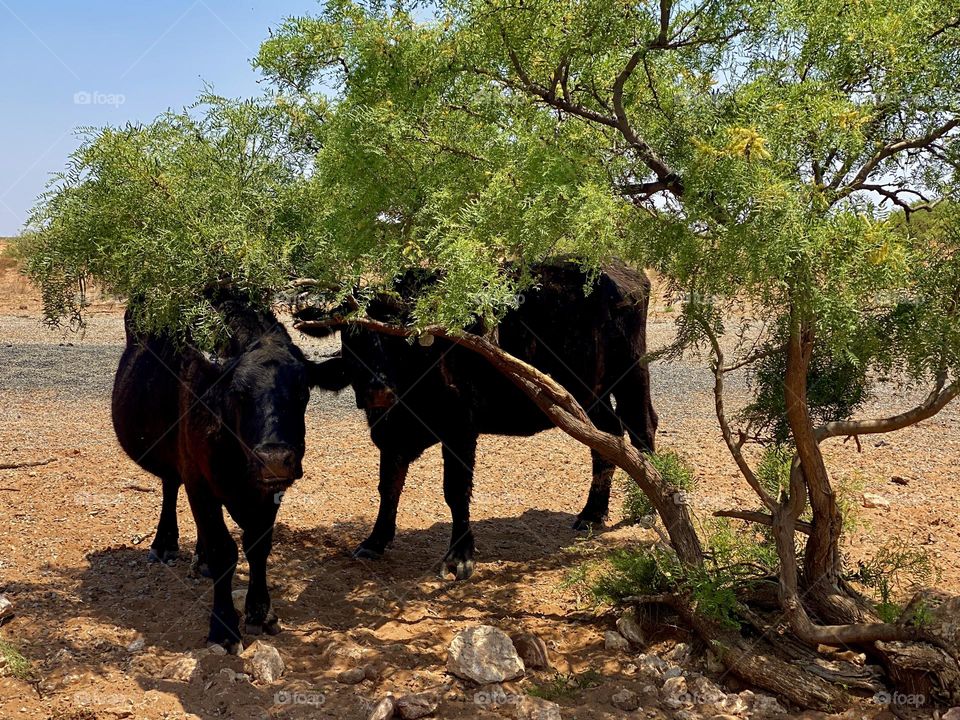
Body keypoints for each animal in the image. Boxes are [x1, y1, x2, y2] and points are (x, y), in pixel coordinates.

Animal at [112, 297, 342, 652]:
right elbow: (224, 551)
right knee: (170, 486)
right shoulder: (199, 483)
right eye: (238, 393)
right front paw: (223, 627)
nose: (274, 459)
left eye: (302, 393)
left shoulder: (269, 493)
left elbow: (257, 545)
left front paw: (261, 611)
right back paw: (164, 544)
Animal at [299, 260, 657, 580]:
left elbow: (455, 490)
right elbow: (388, 486)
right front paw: (375, 540)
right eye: (352, 337)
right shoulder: (391, 436)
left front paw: (459, 556)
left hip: (631, 372)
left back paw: (649, 507)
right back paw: (592, 513)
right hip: (588, 393)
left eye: (398, 337)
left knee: (642, 429)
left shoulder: (459, 429)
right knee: (607, 439)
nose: (378, 388)